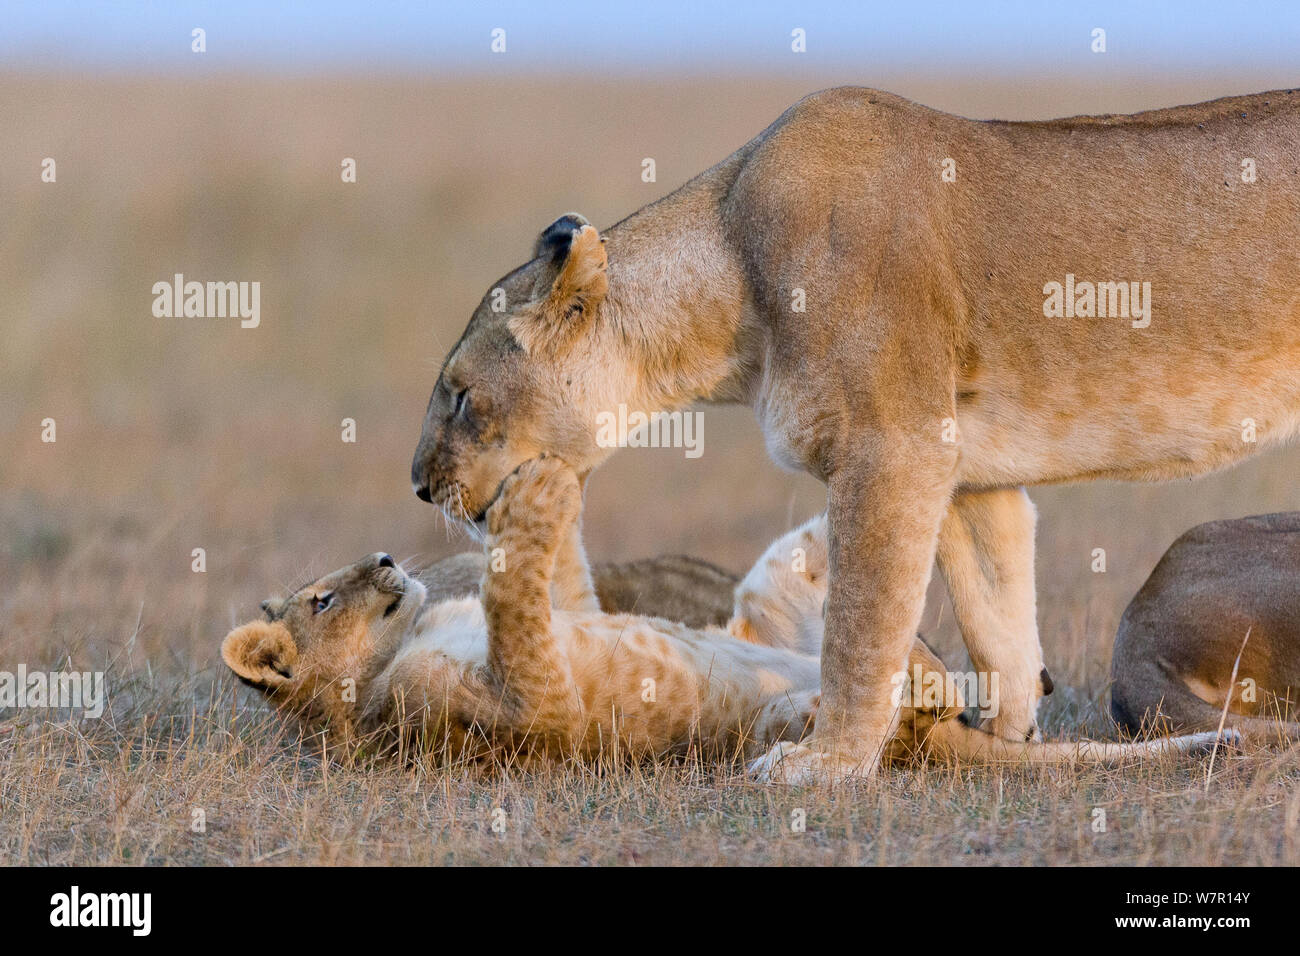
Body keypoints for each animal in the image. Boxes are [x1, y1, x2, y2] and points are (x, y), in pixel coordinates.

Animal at [224, 458, 1229, 768]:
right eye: (323, 598)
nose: (386, 557)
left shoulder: (570, 600)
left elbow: (548, 577)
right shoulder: (515, 716)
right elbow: (518, 614)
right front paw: (533, 485)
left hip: (772, 591)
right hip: (785, 721)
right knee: (891, 719)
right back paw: (924, 692)